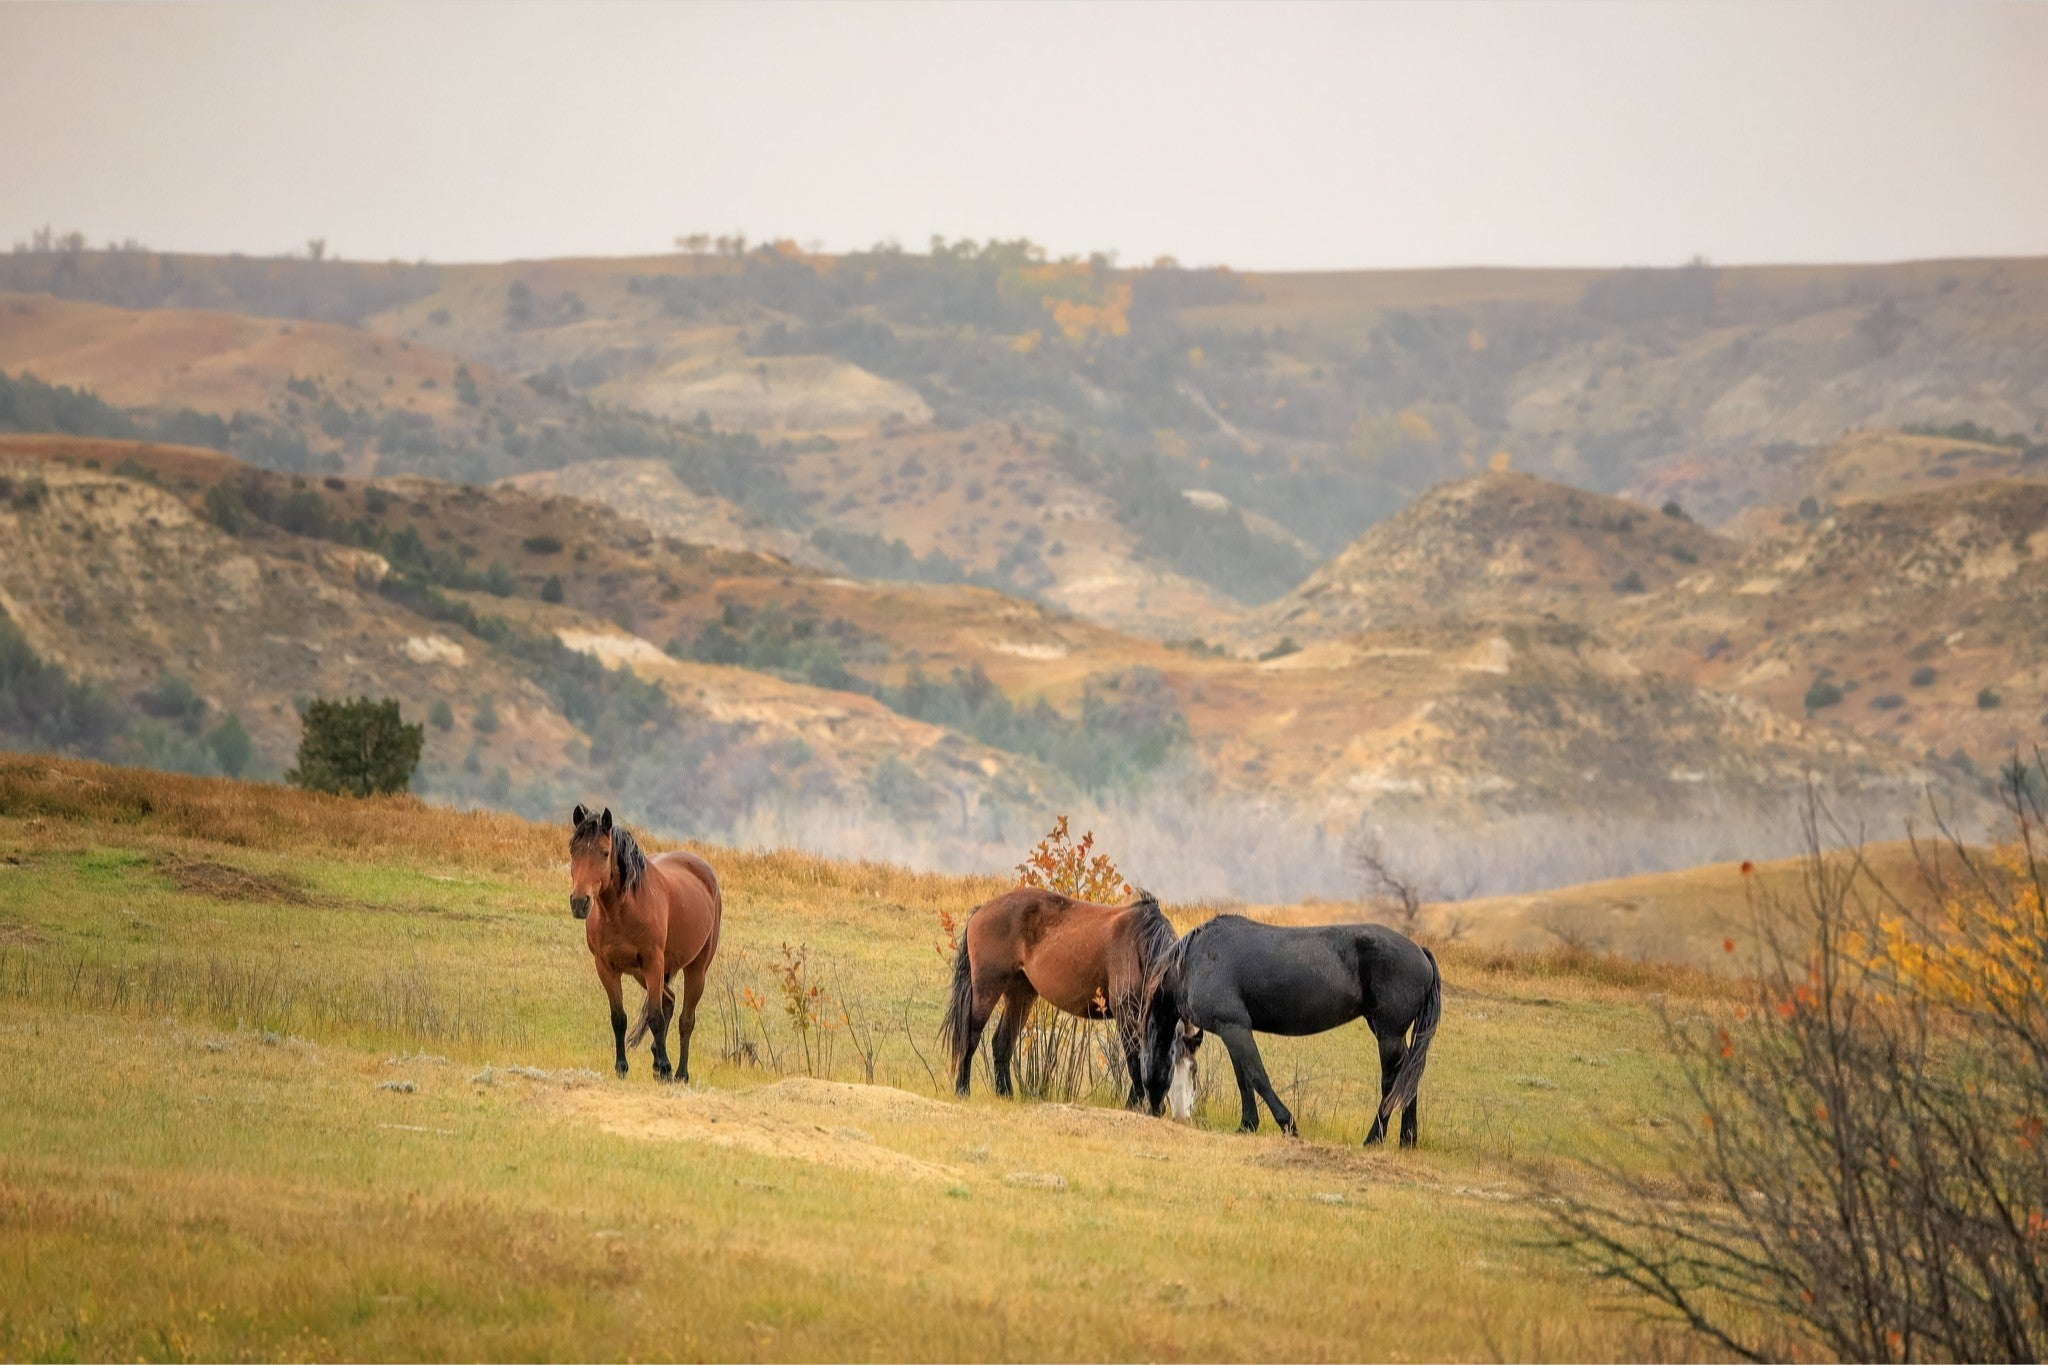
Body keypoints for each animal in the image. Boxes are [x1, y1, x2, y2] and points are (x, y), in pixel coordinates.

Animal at [566, 804, 722, 1083]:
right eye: (573, 850)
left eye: (604, 853)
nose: (580, 902)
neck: (621, 910)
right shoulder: (605, 967)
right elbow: (619, 1018)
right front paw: (622, 1067)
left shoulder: (653, 963)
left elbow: (655, 1017)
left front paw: (666, 1067)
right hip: (641, 973)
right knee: (669, 1000)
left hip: (695, 969)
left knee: (685, 1019)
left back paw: (679, 1073)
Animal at [942, 886, 1185, 1110]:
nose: (1158, 1108)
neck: (1140, 946)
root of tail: (981, 910)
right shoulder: (1126, 1013)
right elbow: (1134, 1061)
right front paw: (1132, 1106)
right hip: (986, 989)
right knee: (970, 1037)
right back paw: (962, 1089)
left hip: (1020, 995)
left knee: (1002, 1043)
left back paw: (1005, 1094)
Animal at [1142, 914, 1441, 1147]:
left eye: (1191, 1070)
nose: (1158, 1110)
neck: (1194, 961)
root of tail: (1421, 952)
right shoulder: (1230, 1031)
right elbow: (1244, 1079)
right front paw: (1247, 1124)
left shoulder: (1235, 1028)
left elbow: (1257, 1076)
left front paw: (1288, 1124)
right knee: (1407, 1079)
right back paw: (1407, 1140)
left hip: (1388, 1034)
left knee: (1392, 1082)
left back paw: (1373, 1139)